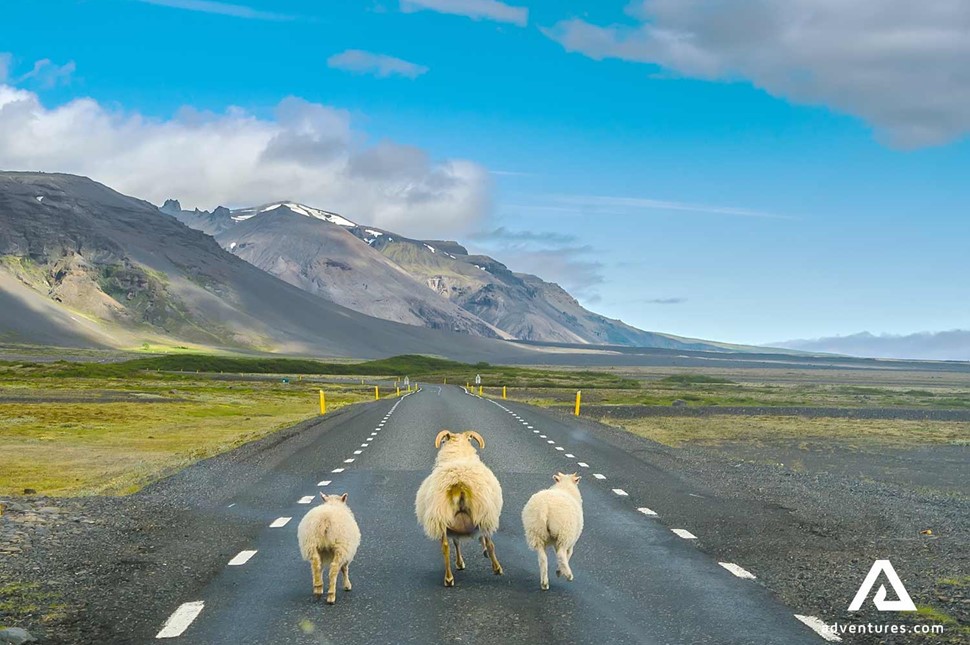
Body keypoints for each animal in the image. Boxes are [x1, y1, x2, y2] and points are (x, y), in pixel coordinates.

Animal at [414, 430, 502, 588]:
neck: (457, 455)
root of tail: (458, 482)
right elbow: (480, 541)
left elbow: (456, 541)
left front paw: (460, 563)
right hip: (482, 513)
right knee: (489, 542)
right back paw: (497, 568)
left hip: (443, 516)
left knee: (445, 546)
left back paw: (449, 579)